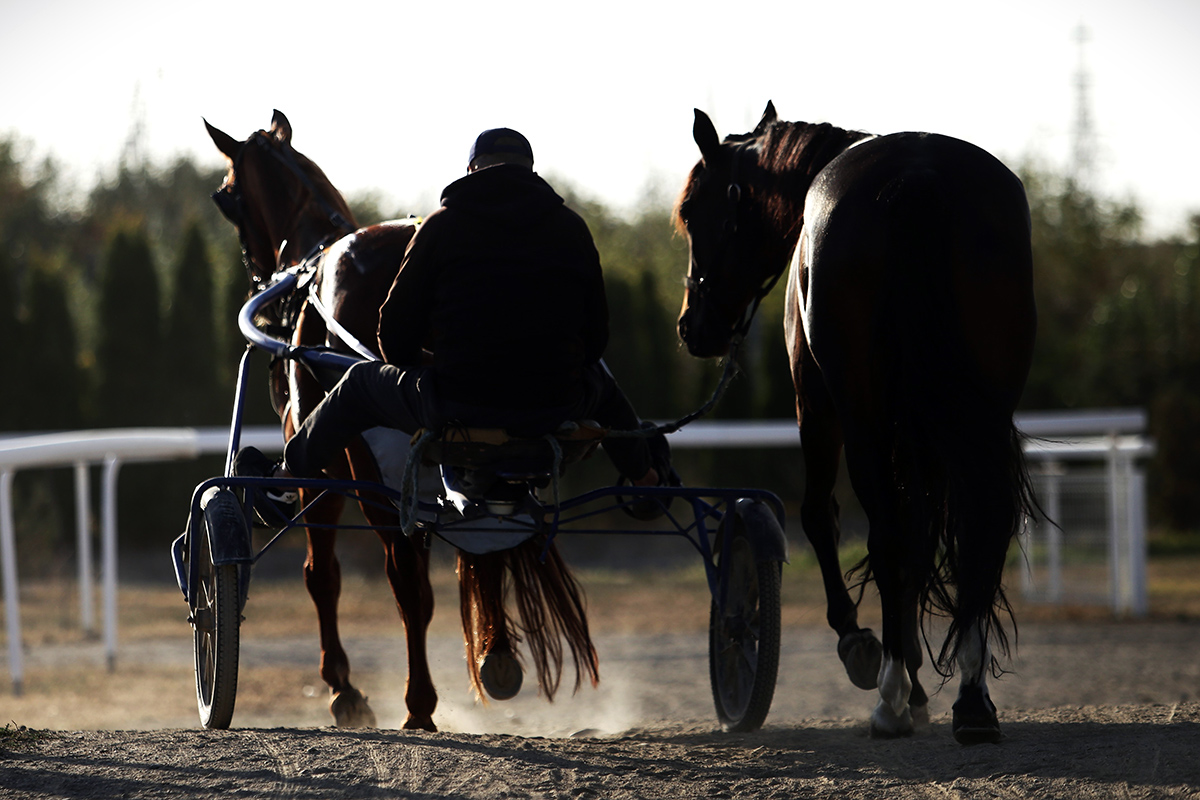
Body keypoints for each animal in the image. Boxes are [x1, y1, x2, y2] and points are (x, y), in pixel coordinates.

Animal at [205, 110, 597, 730]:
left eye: (225, 196)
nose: (259, 287)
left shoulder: (323, 469)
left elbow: (322, 575)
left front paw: (344, 689)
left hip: (375, 462)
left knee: (407, 579)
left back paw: (419, 705)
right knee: (480, 548)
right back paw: (496, 657)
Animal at [675, 102, 1037, 743]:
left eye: (693, 209)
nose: (693, 327)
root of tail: (920, 178)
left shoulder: (816, 404)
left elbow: (823, 517)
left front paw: (867, 648)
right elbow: (921, 535)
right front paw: (917, 678)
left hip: (858, 410)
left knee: (884, 527)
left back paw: (890, 698)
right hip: (980, 414)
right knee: (979, 525)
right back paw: (971, 700)